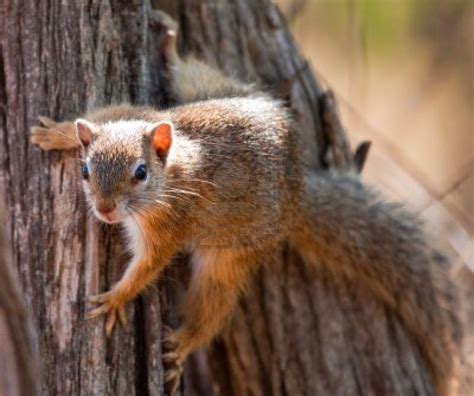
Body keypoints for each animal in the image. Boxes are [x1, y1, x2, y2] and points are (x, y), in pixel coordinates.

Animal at [29, 9, 460, 396]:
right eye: (85, 170)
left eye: (140, 173)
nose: (104, 210)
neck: (175, 168)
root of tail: (296, 189)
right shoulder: (133, 112)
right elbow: (104, 111)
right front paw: (57, 133)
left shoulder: (168, 225)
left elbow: (147, 266)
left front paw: (116, 298)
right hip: (211, 88)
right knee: (192, 72)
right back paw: (169, 44)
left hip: (232, 256)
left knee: (214, 304)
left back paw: (183, 343)